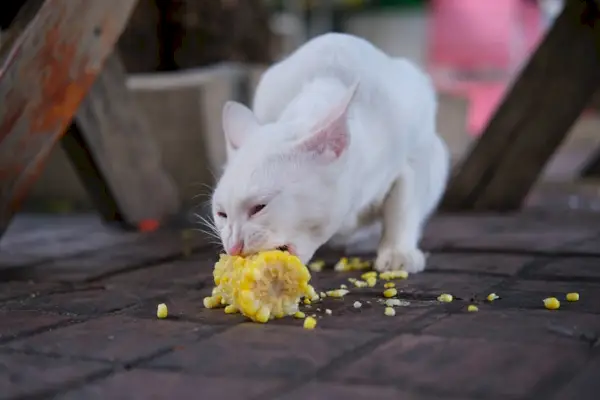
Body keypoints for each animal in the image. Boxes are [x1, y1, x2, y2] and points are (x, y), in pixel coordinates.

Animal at [211, 32, 450, 274]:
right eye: (221, 214)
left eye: (259, 207)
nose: (233, 247)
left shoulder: (415, 155)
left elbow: (403, 208)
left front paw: (397, 252)